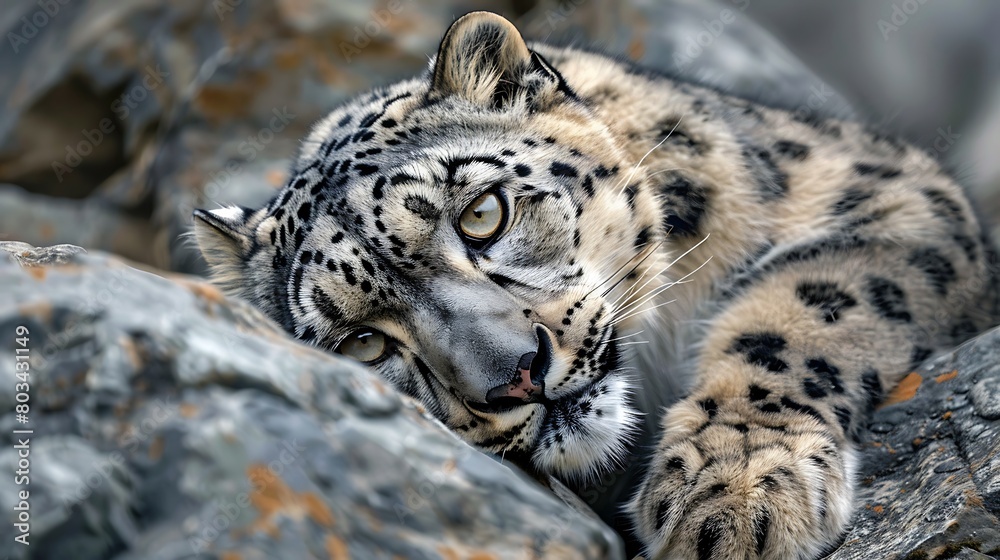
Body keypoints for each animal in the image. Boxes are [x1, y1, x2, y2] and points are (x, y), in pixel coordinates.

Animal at [192, 11, 999, 559]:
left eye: (482, 212)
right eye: (361, 342)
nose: (516, 376)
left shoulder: (898, 195)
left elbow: (799, 317)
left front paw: (732, 495)